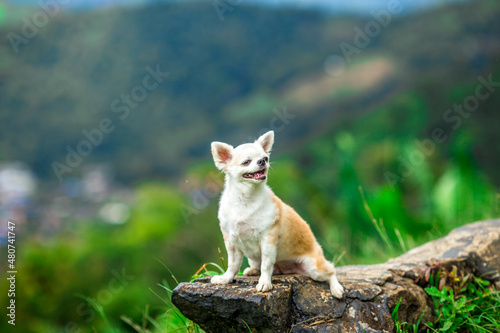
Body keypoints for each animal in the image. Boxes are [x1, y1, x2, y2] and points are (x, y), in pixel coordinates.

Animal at [208, 130, 344, 298]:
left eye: (265, 158)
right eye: (246, 162)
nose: (262, 161)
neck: (245, 200)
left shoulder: (268, 239)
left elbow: (266, 265)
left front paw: (265, 283)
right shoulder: (232, 241)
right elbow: (233, 264)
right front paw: (225, 278)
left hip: (315, 268)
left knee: (331, 271)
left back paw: (336, 288)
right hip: (255, 258)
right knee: (258, 265)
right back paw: (252, 271)